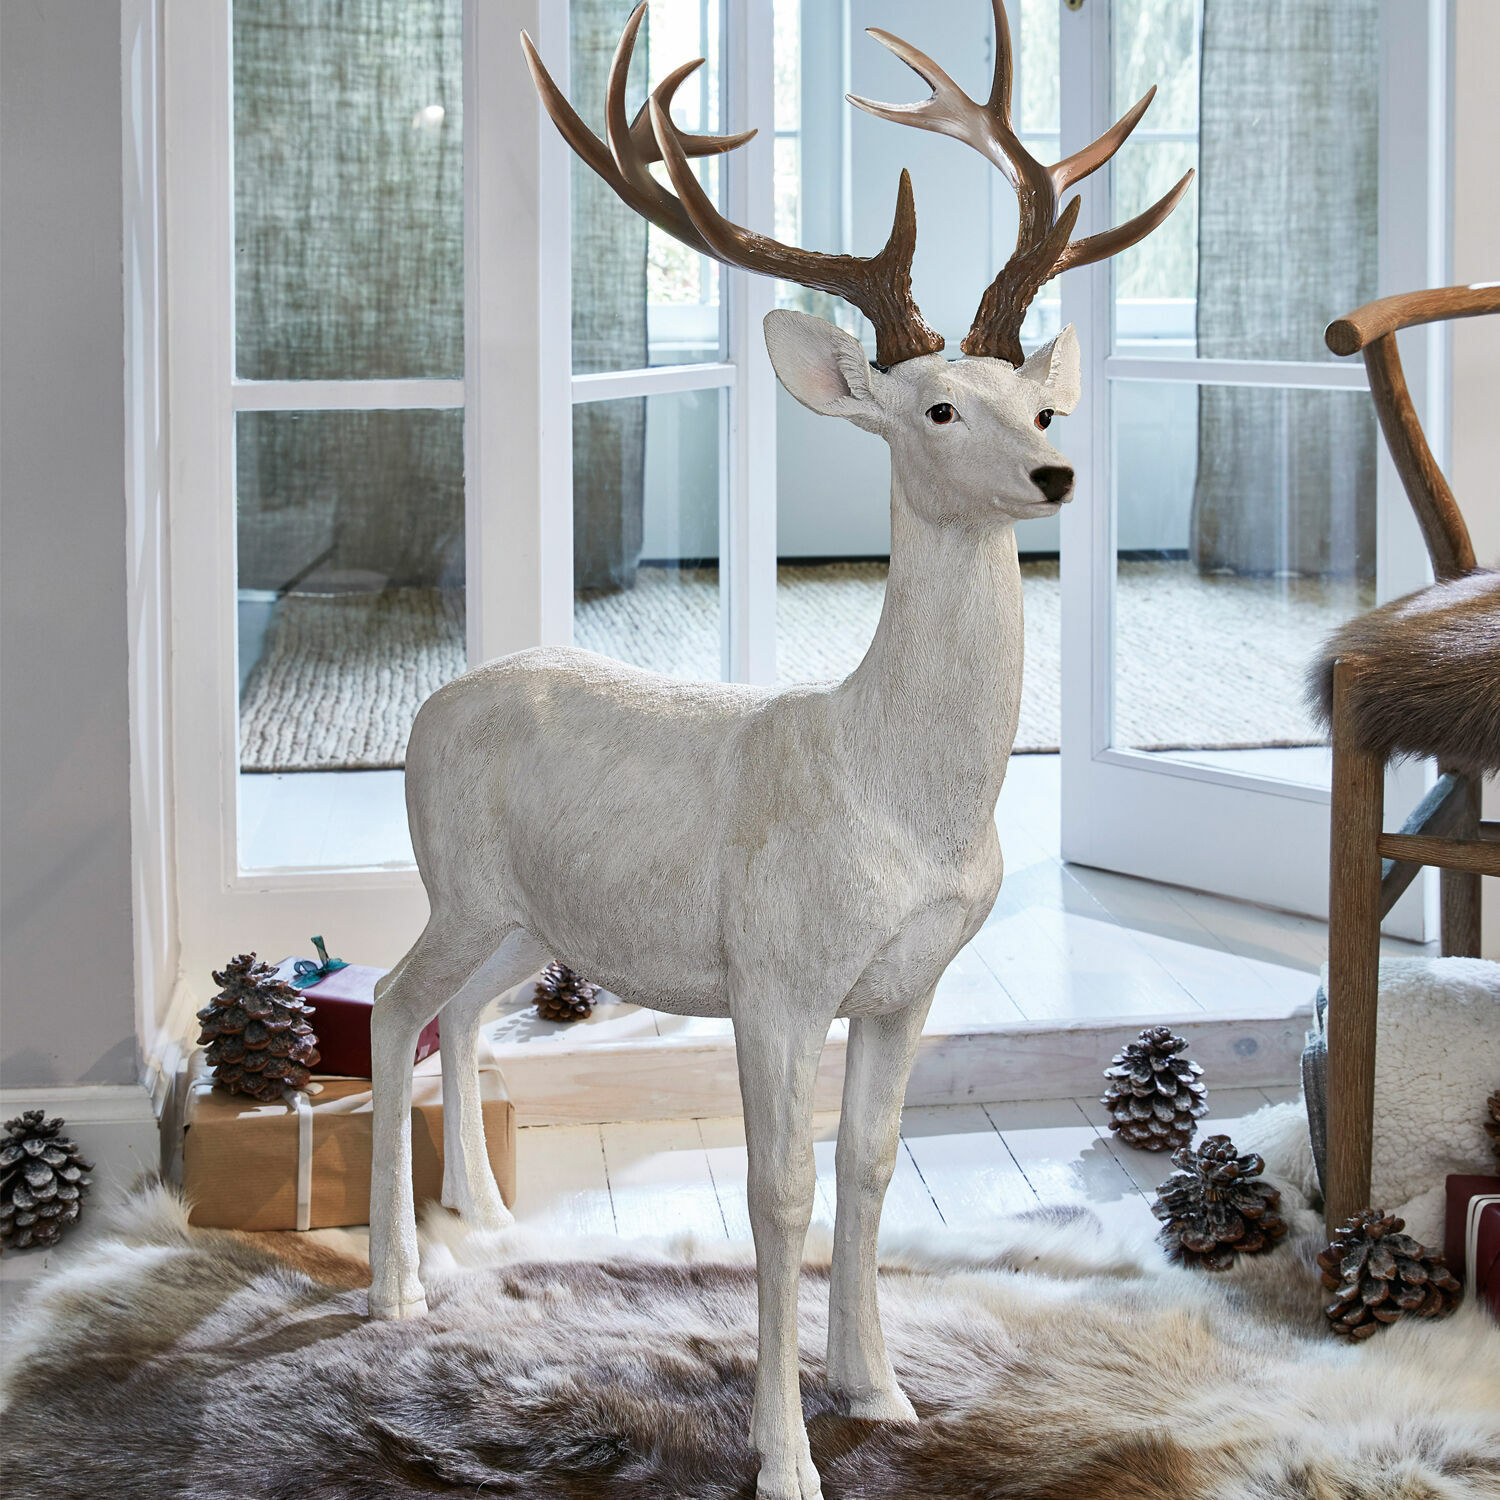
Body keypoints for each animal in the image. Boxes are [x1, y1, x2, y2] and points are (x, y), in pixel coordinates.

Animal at [367, 4, 1190, 1495]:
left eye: (1036, 406)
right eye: (935, 409)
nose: (1057, 475)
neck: (899, 796)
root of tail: (437, 703)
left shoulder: (907, 985)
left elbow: (869, 1169)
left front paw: (882, 1391)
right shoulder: (775, 973)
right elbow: (777, 1189)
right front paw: (783, 1453)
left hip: (532, 918)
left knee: (460, 1017)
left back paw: (488, 1216)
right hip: (455, 883)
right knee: (398, 1009)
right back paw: (395, 1285)